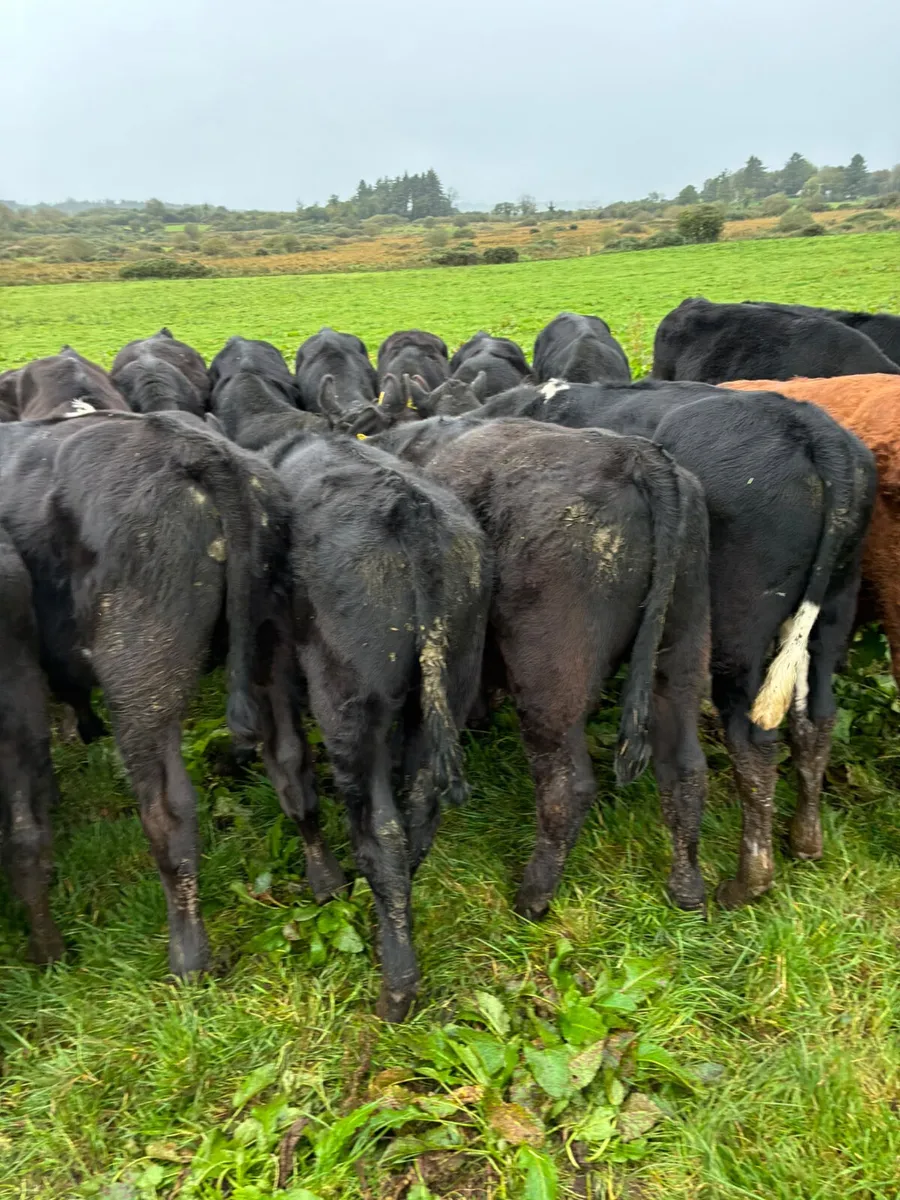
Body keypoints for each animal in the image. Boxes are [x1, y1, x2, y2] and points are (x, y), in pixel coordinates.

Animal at [0, 411, 294, 978]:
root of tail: (185, 444)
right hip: (269, 655)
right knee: (289, 758)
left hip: (140, 687)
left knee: (168, 812)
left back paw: (187, 959)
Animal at [255, 429, 491, 1020]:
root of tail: (410, 510)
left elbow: (290, 769)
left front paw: (324, 883)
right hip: (453, 676)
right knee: (419, 815)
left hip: (350, 707)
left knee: (382, 832)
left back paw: (396, 990)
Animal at [362, 414, 711, 921]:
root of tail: (634, 454)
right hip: (682, 650)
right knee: (684, 766)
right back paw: (687, 890)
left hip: (550, 679)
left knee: (567, 787)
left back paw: (532, 898)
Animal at [451, 379, 876, 905]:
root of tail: (810, 427)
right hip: (830, 613)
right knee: (814, 722)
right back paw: (804, 842)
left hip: (737, 632)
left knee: (754, 741)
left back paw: (748, 882)